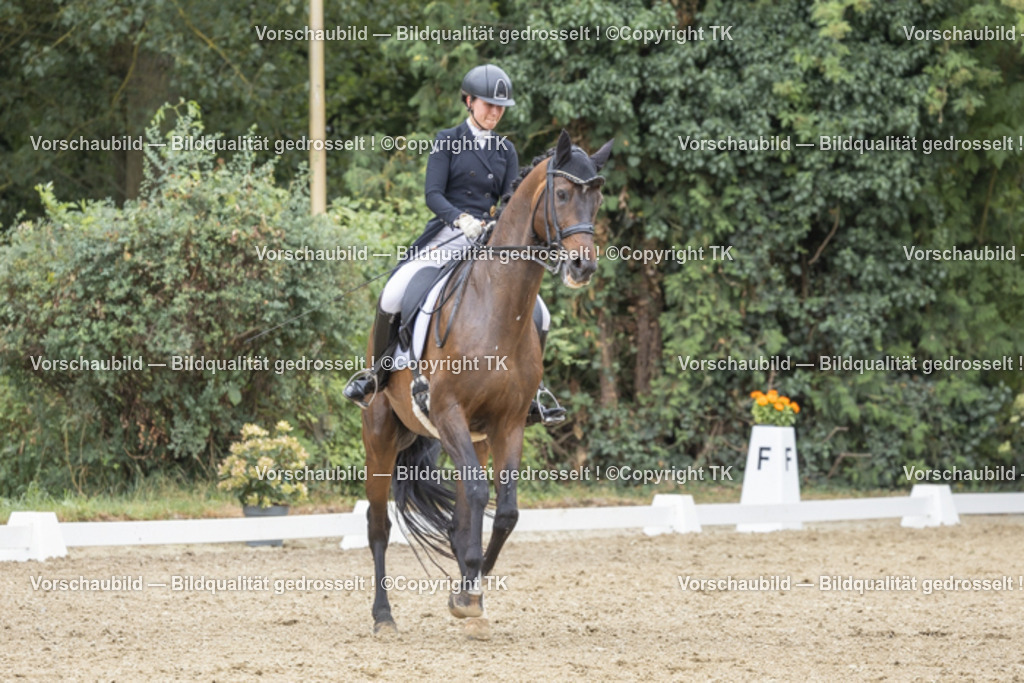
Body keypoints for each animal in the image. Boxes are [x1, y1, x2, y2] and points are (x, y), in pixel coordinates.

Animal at [360, 129, 613, 639]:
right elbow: (480, 499)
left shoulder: (507, 424)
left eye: (596, 198)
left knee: (462, 512)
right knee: (379, 526)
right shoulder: (449, 412)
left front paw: (470, 593)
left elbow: (505, 510)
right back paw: (383, 617)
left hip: (470, 439)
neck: (496, 306)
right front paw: (468, 590)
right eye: (561, 194)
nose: (582, 267)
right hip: (381, 435)